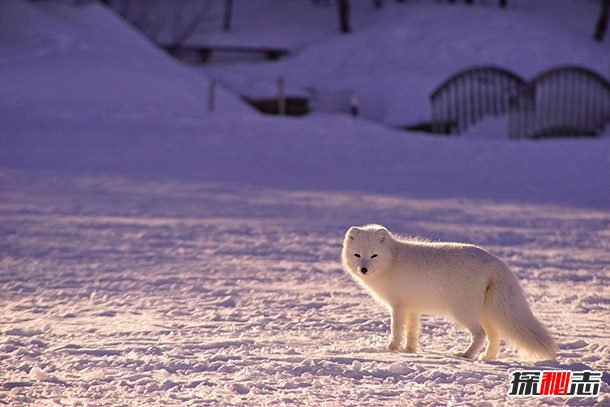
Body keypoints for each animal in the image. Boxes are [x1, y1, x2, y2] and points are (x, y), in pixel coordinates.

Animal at [342, 225, 556, 362]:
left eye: (374, 255)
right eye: (357, 255)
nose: (363, 269)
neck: (392, 260)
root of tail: (496, 263)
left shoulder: (399, 306)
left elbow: (396, 330)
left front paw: (390, 349)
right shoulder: (413, 307)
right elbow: (412, 331)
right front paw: (409, 350)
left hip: (462, 311)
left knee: (480, 334)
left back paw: (467, 355)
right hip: (486, 312)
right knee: (494, 336)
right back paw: (487, 357)